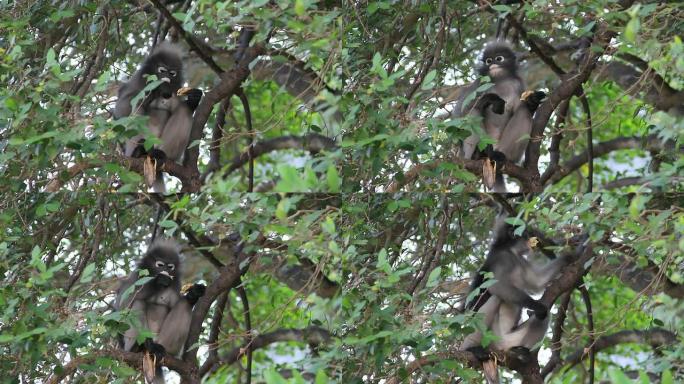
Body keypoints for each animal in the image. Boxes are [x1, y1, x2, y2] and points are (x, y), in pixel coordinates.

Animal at [115, 240, 204, 380]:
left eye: (170, 267)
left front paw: (193, 294)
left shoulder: (175, 285)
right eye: (160, 265)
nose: (165, 270)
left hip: (162, 339)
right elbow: (121, 308)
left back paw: (159, 349)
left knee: (183, 304)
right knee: (138, 303)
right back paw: (139, 347)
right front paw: (159, 280)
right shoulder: (135, 278)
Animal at [454, 41, 544, 192]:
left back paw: (500, 156)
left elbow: (521, 107)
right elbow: (460, 114)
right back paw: (478, 155)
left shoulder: (517, 85)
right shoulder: (478, 84)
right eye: (488, 60)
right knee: (473, 112)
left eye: (499, 58)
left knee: (524, 112)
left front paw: (532, 101)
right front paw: (490, 99)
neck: (500, 81)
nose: (493, 64)